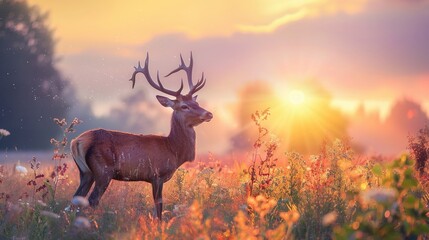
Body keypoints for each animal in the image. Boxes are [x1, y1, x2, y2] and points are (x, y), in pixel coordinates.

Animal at [70, 53, 212, 220]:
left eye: (196, 102)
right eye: (184, 106)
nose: (209, 114)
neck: (172, 149)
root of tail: (76, 141)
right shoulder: (157, 175)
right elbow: (159, 207)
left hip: (86, 173)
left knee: (75, 201)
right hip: (103, 171)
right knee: (92, 200)